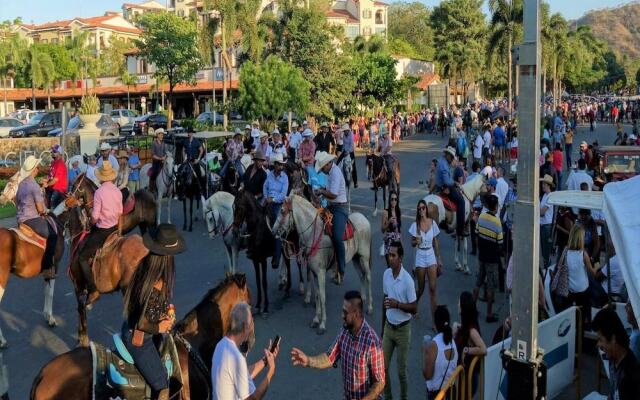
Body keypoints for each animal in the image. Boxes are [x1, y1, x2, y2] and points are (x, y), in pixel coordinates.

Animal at [0, 217, 64, 348]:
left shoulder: (46, 271)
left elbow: (46, 291)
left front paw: (46, 316)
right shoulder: (54, 267)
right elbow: (50, 293)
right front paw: (51, 319)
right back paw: (2, 341)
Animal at [272, 194, 376, 334]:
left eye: (282, 211)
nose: (273, 231)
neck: (313, 234)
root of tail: (364, 219)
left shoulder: (320, 273)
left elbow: (322, 297)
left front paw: (322, 324)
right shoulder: (314, 273)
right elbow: (316, 295)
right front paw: (316, 319)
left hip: (364, 258)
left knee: (369, 277)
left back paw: (370, 307)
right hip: (356, 258)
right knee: (361, 275)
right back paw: (362, 299)